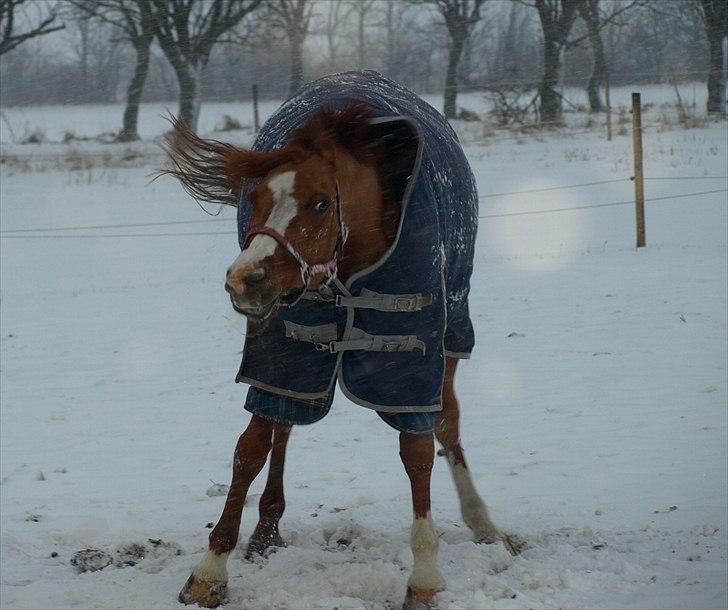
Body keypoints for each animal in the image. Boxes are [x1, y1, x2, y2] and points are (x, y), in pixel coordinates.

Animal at [164, 72, 516, 608]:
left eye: (320, 203)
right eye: (255, 201)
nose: (244, 280)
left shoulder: (410, 366)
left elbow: (418, 455)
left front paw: (425, 576)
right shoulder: (283, 356)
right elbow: (250, 449)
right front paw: (211, 569)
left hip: (451, 337)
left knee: (448, 425)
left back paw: (482, 521)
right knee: (283, 428)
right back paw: (267, 527)